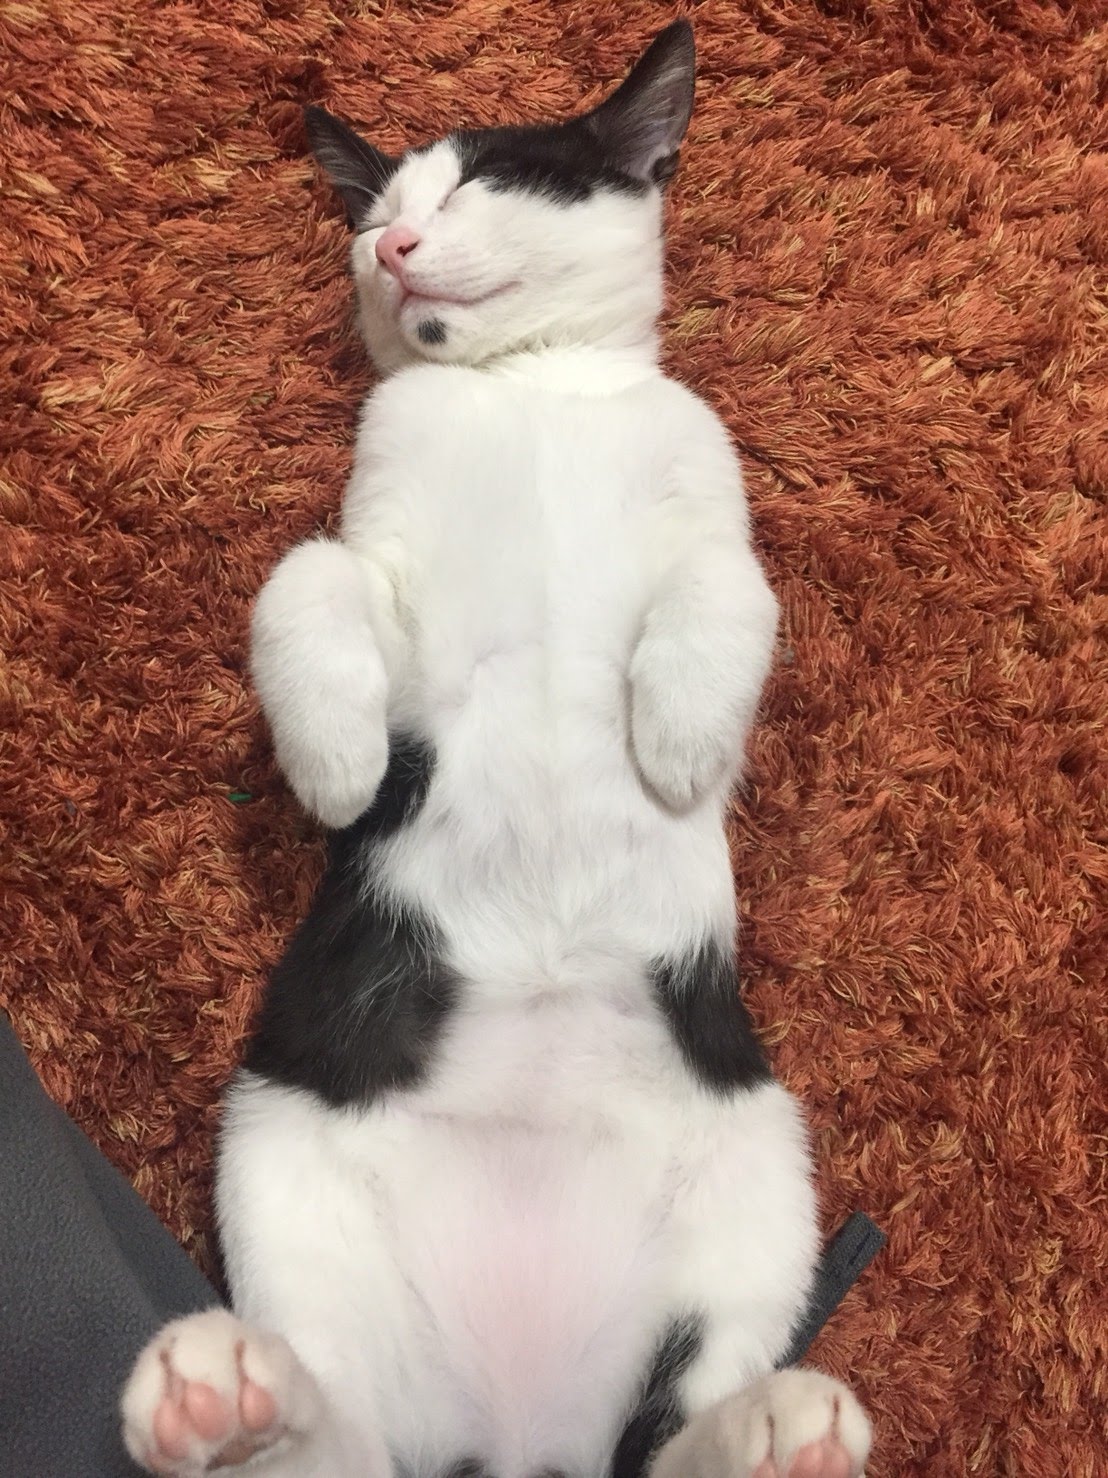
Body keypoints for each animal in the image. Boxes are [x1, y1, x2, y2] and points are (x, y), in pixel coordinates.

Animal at [121, 21, 871, 1478]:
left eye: (475, 185)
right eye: (373, 217)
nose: (396, 249)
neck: (531, 387)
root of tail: (523, 1437)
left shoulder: (709, 500)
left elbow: (732, 590)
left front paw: (681, 736)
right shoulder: (376, 554)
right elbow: (303, 575)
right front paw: (337, 764)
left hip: (761, 1174)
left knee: (674, 1429)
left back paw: (774, 1428)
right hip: (280, 1158)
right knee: (346, 1437)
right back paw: (231, 1407)